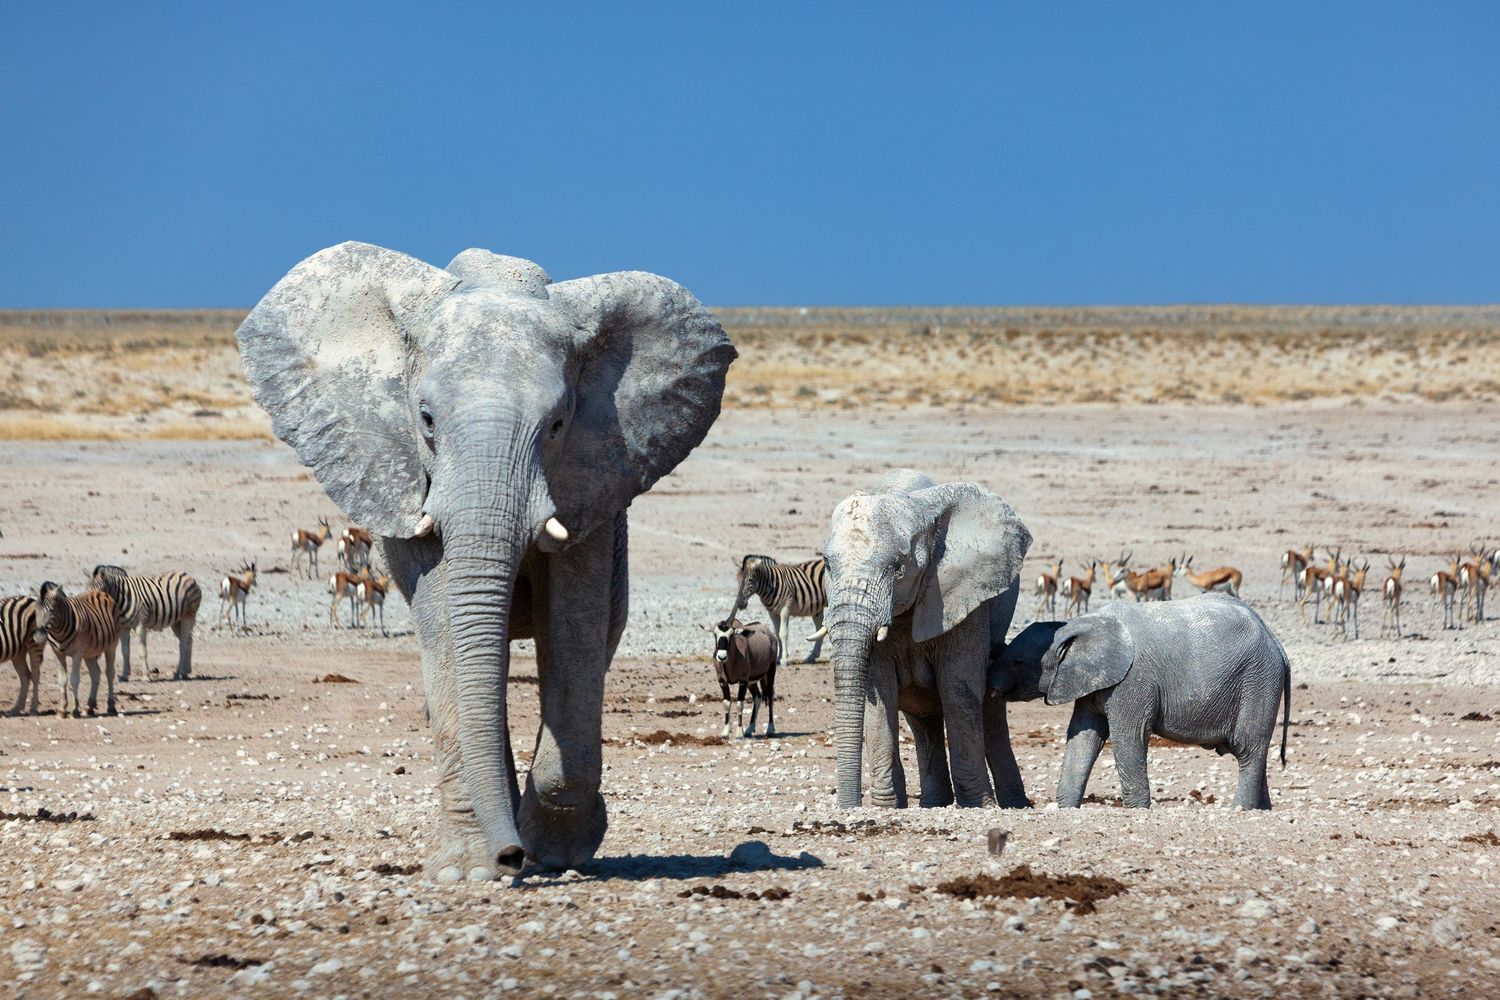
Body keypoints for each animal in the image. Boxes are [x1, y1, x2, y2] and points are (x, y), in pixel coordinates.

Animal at [35, 582, 120, 718]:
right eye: (35, 611)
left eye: (51, 610)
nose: (38, 636)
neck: (59, 631)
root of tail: (99, 592)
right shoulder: (58, 654)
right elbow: (62, 680)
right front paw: (62, 709)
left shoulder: (77, 654)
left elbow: (74, 679)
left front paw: (75, 709)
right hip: (89, 653)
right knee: (95, 673)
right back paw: (89, 707)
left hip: (111, 646)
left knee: (110, 673)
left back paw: (111, 706)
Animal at [237, 242, 735, 880]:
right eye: (425, 419)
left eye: (557, 425)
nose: (510, 855)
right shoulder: (402, 472)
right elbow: (446, 621)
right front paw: (470, 870)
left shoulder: (596, 476)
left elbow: (573, 626)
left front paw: (554, 853)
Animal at [821, 469, 1032, 809]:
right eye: (827, 564)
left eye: (898, 569)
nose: (850, 805)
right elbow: (880, 696)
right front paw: (887, 806)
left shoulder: (966, 597)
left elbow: (958, 689)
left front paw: (977, 806)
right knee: (923, 719)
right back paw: (934, 803)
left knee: (986, 706)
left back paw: (1013, 803)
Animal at [1037, 593, 1291, 810]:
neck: (1086, 624)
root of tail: (1276, 642)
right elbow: (1083, 736)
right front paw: (1066, 809)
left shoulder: (1133, 679)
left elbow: (1129, 735)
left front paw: (1138, 810)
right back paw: (1262, 810)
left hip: (1258, 680)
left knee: (1248, 749)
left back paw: (1239, 810)